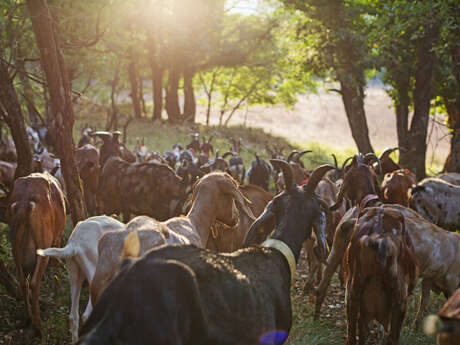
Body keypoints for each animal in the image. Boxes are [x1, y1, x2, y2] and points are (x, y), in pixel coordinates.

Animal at [8, 172, 66, 334]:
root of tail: (24, 204)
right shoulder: (57, 237)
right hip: (43, 244)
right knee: (34, 282)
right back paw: (38, 325)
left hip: (15, 247)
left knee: (23, 281)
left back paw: (27, 318)